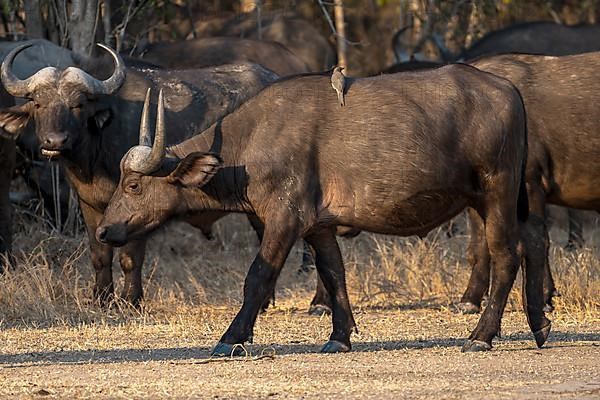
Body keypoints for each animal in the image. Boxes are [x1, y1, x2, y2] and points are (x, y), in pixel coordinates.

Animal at [0, 41, 278, 306]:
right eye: (38, 104)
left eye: (77, 105)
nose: (55, 141)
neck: (97, 152)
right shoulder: (89, 205)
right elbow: (99, 255)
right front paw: (101, 298)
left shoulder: (137, 210)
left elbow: (129, 257)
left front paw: (130, 299)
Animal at [96, 67, 552, 354]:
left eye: (133, 185)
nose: (103, 231)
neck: (251, 141)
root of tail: (508, 90)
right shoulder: (319, 226)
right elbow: (334, 275)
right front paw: (340, 336)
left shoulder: (284, 219)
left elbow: (258, 276)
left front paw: (232, 337)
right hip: (510, 199)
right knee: (535, 244)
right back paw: (539, 323)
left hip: (496, 193)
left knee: (506, 255)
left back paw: (481, 335)